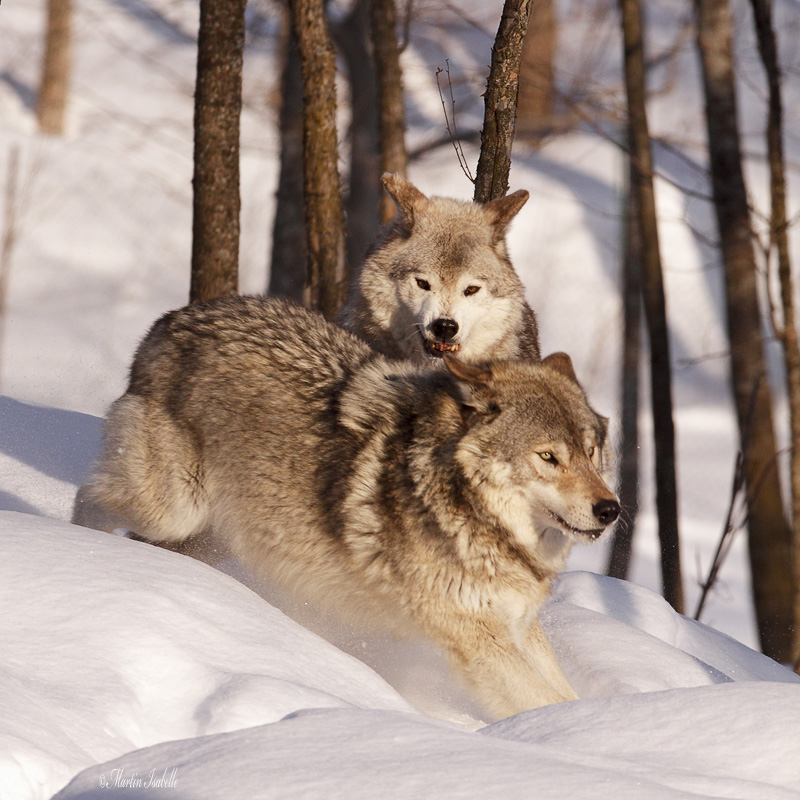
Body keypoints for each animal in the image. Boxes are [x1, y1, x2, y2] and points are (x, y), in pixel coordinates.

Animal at [73, 296, 620, 720]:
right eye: (549, 457)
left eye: (591, 452)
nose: (610, 510)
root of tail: (175, 317)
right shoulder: (476, 638)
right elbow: (545, 700)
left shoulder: (518, 626)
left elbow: (563, 692)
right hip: (172, 507)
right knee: (89, 497)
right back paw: (81, 544)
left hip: (206, 535)